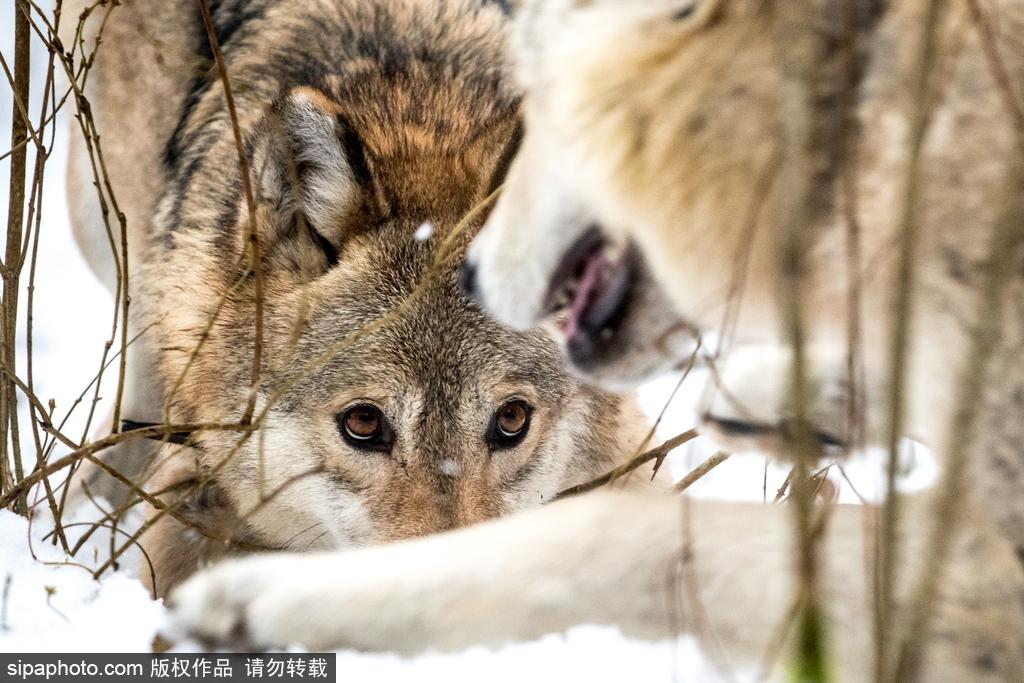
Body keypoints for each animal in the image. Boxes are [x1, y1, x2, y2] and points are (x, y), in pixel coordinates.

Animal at [172, 0, 1024, 679]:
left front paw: (276, 600)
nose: (477, 274)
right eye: (362, 424)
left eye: (511, 421)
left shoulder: (982, 573)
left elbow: (608, 532)